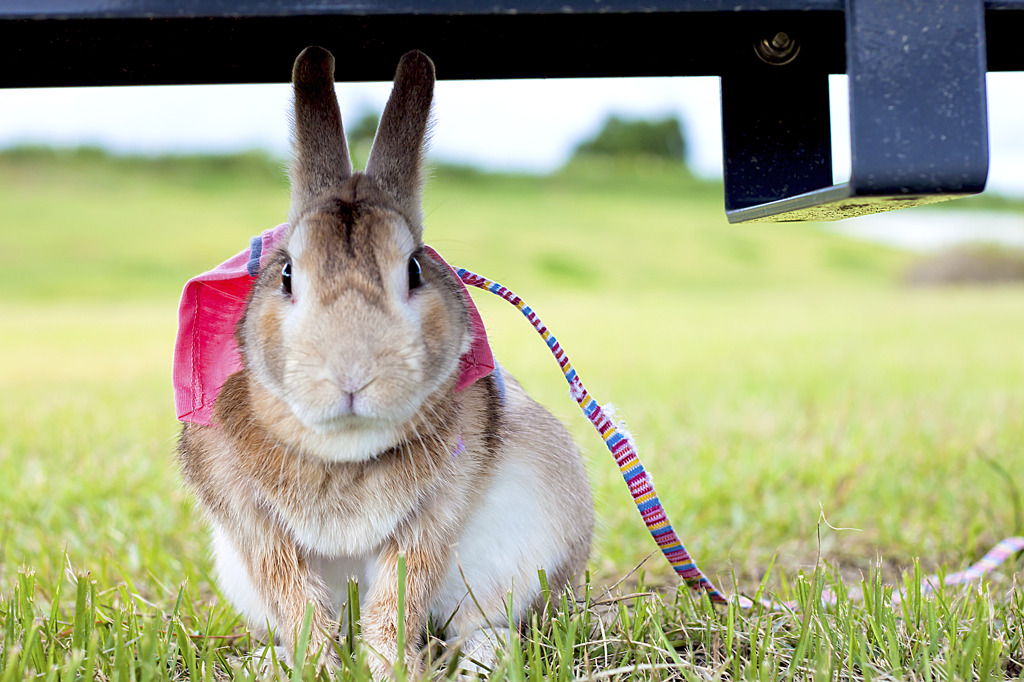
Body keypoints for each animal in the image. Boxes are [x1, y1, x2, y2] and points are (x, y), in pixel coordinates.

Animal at [175, 46, 593, 675]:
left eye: (415, 269)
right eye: (287, 273)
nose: (353, 375)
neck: (342, 450)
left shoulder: (432, 517)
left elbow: (397, 601)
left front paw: (391, 669)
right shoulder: (253, 523)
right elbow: (298, 603)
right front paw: (319, 667)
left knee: (483, 623)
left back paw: (479, 661)